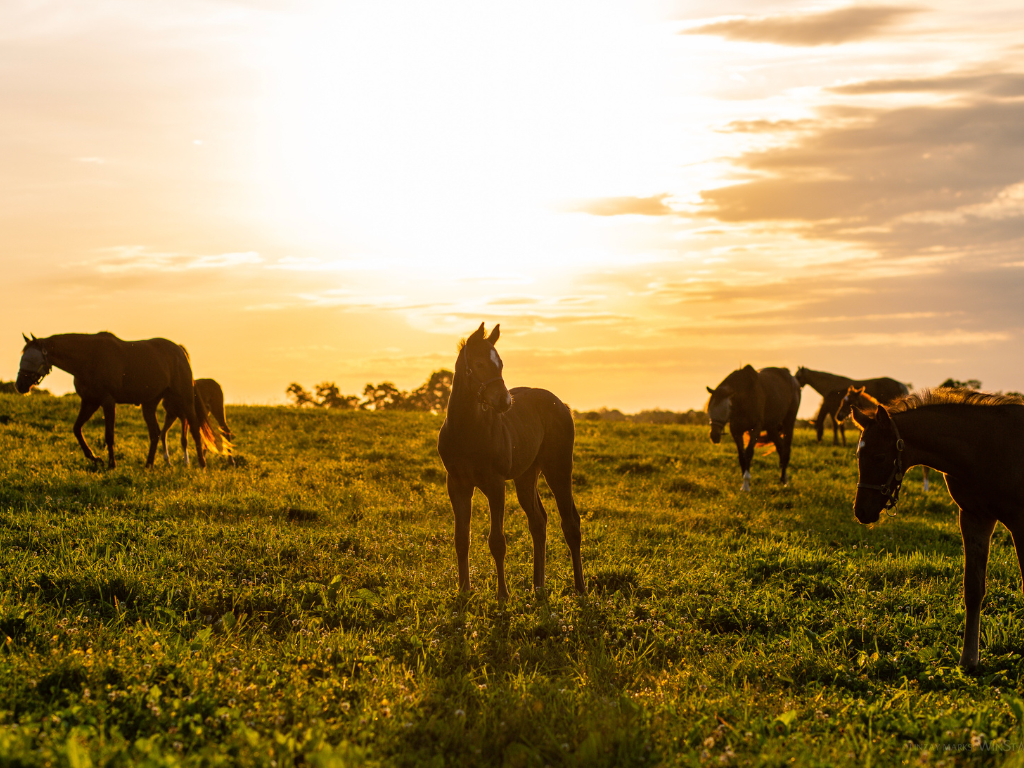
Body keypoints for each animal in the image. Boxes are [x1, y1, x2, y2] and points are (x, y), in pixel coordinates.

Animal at [14, 335, 223, 473]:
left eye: (31, 358)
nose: (19, 385)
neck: (89, 358)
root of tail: (179, 350)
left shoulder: (107, 401)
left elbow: (109, 435)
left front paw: (111, 464)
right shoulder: (89, 401)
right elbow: (77, 429)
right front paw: (94, 458)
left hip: (184, 399)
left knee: (194, 428)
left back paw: (201, 464)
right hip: (149, 404)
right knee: (155, 433)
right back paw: (148, 465)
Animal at [436, 321, 585, 598]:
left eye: (501, 364)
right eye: (480, 364)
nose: (505, 402)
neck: (466, 430)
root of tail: (561, 404)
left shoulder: (495, 485)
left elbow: (497, 541)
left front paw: (502, 596)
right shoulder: (457, 484)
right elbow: (461, 539)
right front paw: (464, 591)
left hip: (558, 469)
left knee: (570, 524)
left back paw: (580, 588)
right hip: (526, 475)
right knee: (538, 522)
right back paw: (538, 586)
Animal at [847, 391, 1024, 671]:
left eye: (879, 457)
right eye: (857, 456)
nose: (862, 512)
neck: (987, 447)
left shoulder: (1019, 521)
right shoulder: (975, 517)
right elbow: (973, 588)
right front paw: (968, 659)